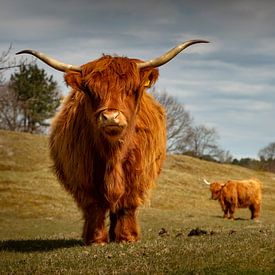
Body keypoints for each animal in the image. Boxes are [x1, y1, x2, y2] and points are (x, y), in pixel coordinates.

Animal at [16, 39, 208, 246]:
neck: (113, 153)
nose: (110, 117)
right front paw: (96, 239)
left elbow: (127, 205)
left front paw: (127, 237)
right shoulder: (83, 175)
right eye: (91, 91)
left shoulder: (137, 173)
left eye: (131, 89)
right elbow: (95, 206)